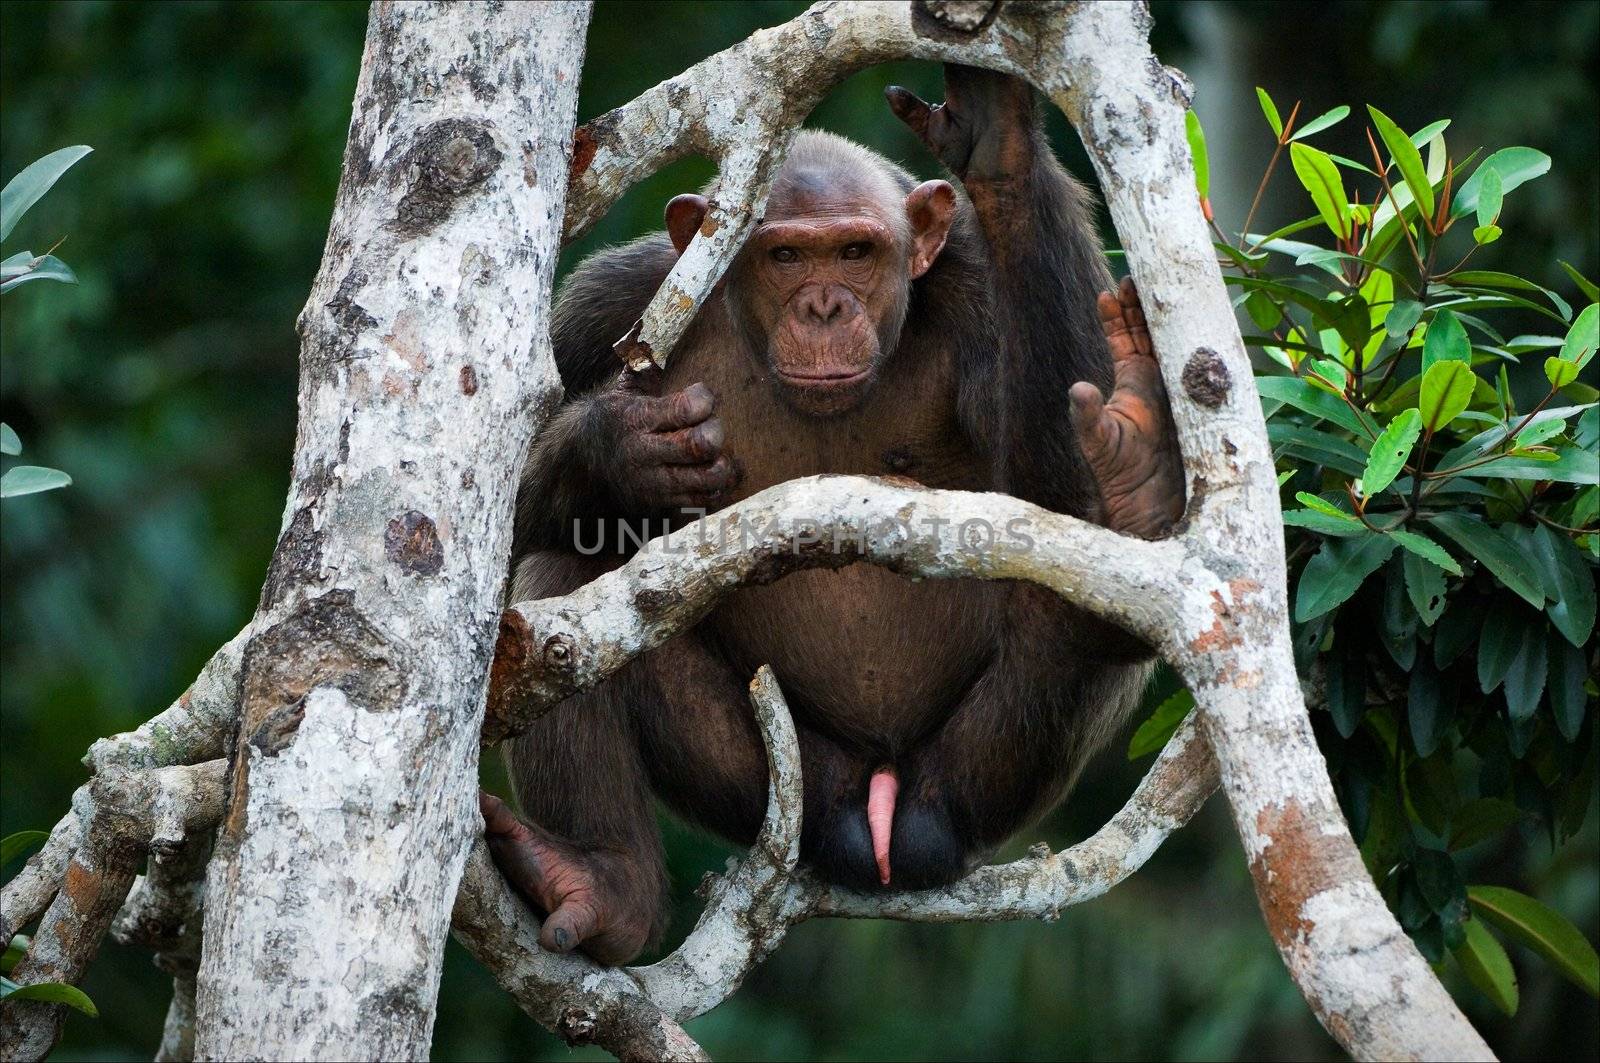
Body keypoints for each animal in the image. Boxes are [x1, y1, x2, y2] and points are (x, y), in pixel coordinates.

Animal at [480, 66, 1196, 960]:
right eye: (784, 255)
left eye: (857, 252)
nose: (823, 305)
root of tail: (879, 807)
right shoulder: (605, 307)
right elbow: (488, 514)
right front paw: (618, 449)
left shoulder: (977, 292)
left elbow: (1053, 499)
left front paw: (998, 146)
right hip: (785, 788)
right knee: (559, 585)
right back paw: (603, 881)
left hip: (967, 783)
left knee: (1092, 603)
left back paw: (1140, 484)